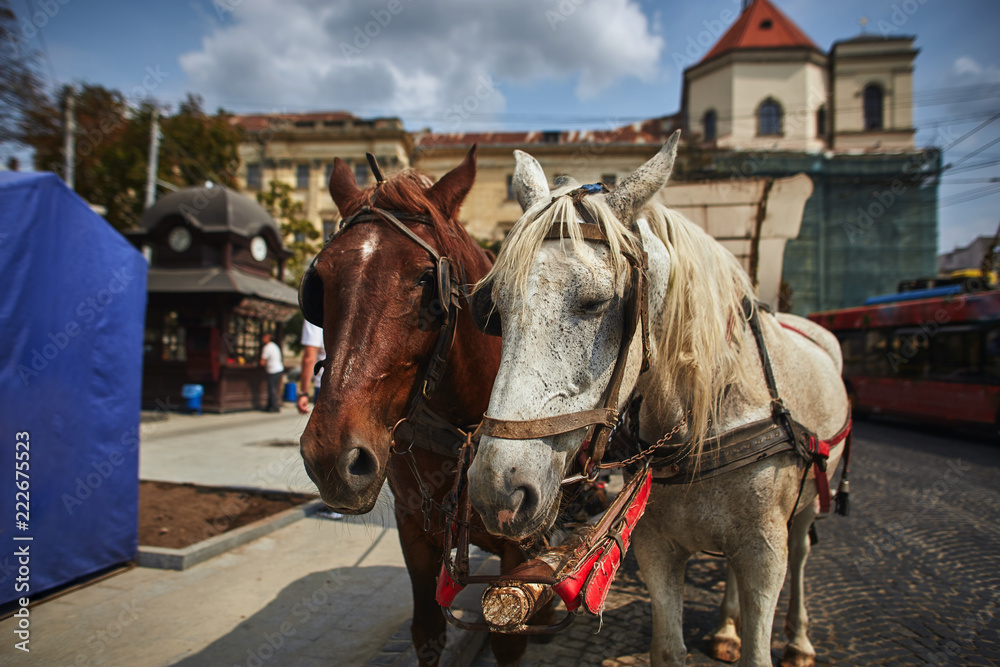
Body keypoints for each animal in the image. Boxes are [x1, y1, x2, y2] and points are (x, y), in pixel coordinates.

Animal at [298, 149, 548, 664]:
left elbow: (507, 638)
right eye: (321, 282)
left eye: (424, 278)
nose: (331, 457)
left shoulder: (519, 547)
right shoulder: (413, 528)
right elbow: (427, 630)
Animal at [468, 132, 852, 667]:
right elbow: (669, 649)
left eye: (597, 302)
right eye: (495, 309)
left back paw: (797, 640)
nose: (497, 489)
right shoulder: (655, 547)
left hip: (810, 501)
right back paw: (726, 628)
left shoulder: (764, 550)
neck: (705, 421)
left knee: (800, 553)